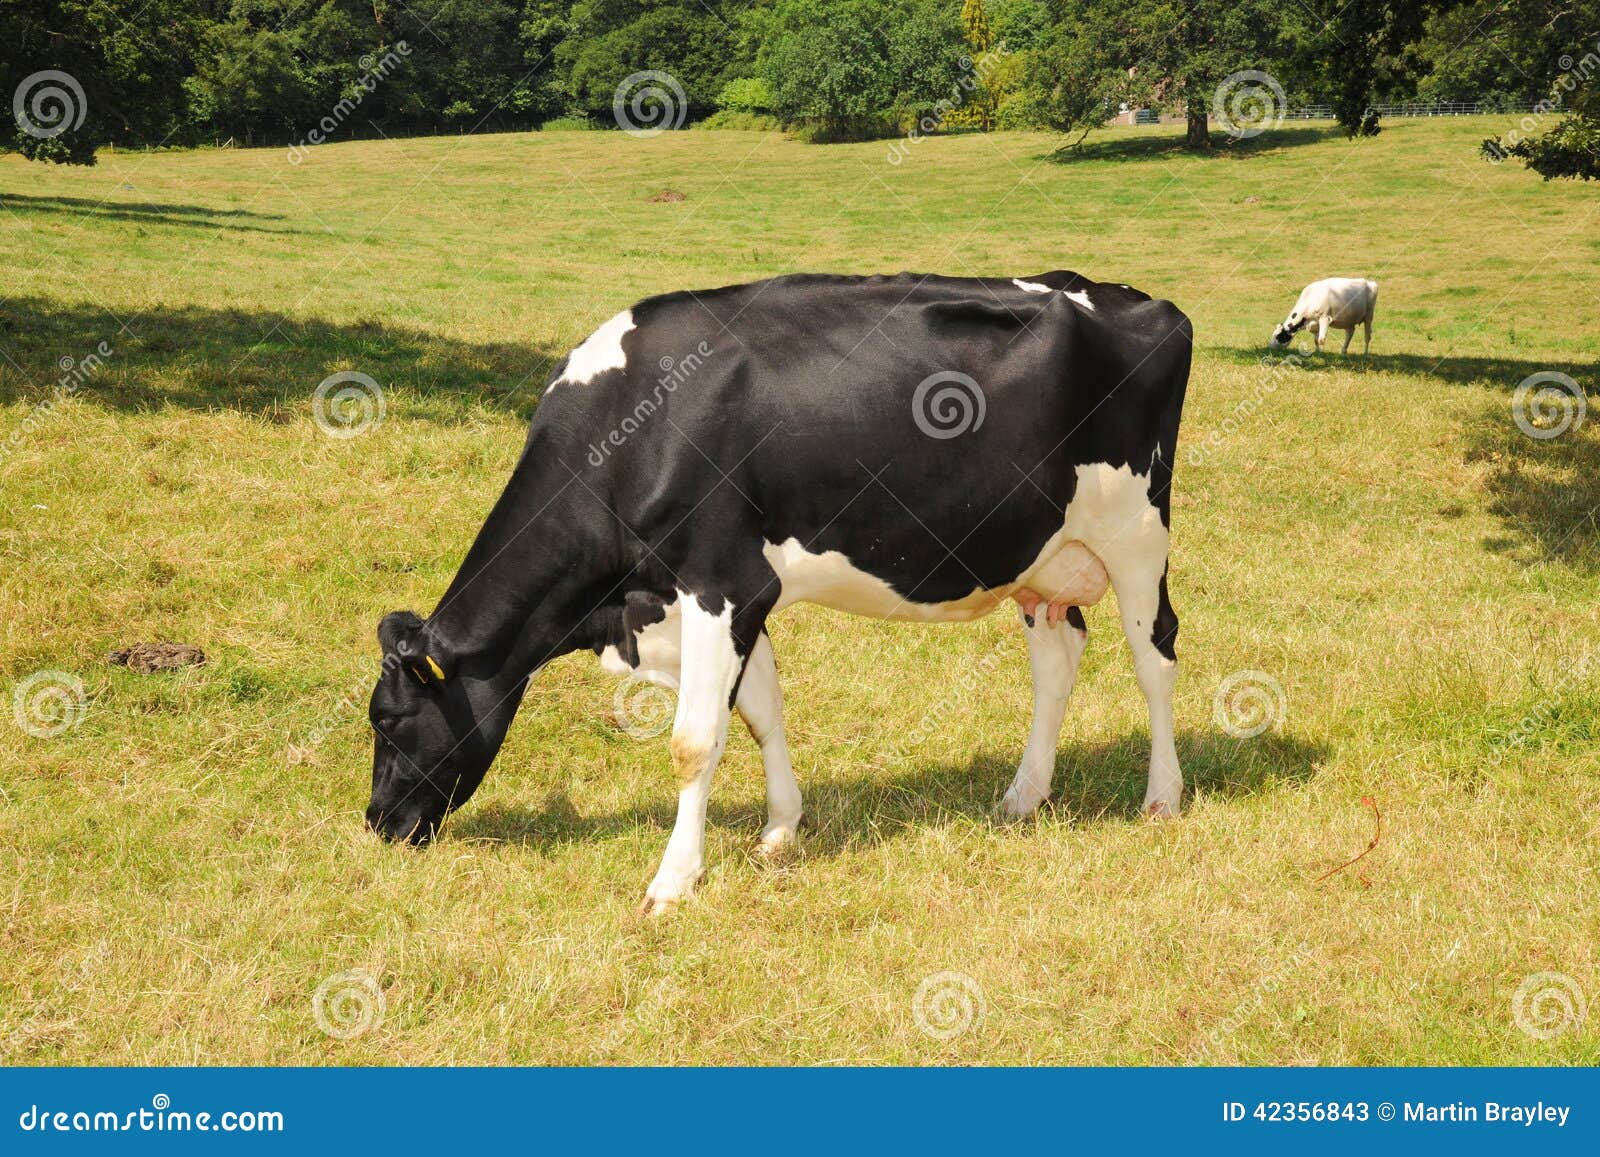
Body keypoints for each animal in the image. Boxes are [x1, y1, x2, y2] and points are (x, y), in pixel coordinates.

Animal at [365, 271, 1193, 914]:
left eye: (389, 721)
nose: (376, 823)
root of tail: (1141, 300)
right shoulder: (721, 598)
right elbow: (761, 712)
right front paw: (779, 831)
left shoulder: (721, 581)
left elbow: (693, 740)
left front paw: (673, 881)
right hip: (1038, 557)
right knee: (1058, 658)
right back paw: (1025, 794)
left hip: (1137, 535)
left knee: (1155, 658)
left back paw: (1162, 796)